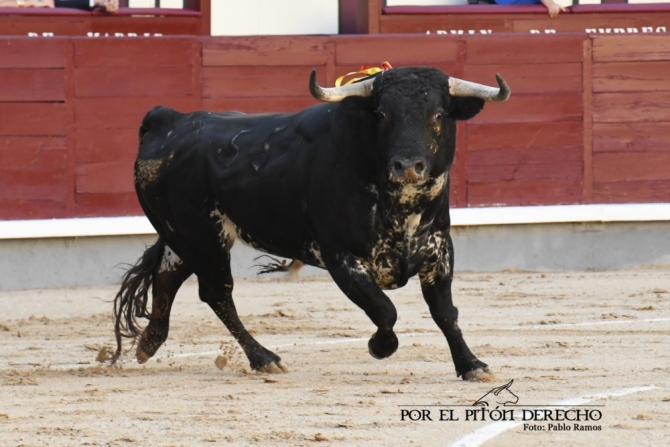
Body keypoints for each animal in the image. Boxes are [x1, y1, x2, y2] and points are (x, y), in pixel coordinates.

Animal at [113, 67, 512, 382]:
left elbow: (445, 313)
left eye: (439, 114)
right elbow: (385, 309)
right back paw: (264, 359)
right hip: (203, 238)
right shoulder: (342, 259)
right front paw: (380, 347)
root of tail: (170, 120)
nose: (407, 166)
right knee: (216, 293)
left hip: (184, 236)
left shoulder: (438, 250)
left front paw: (471, 365)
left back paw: (149, 342)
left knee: (167, 275)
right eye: (382, 113)